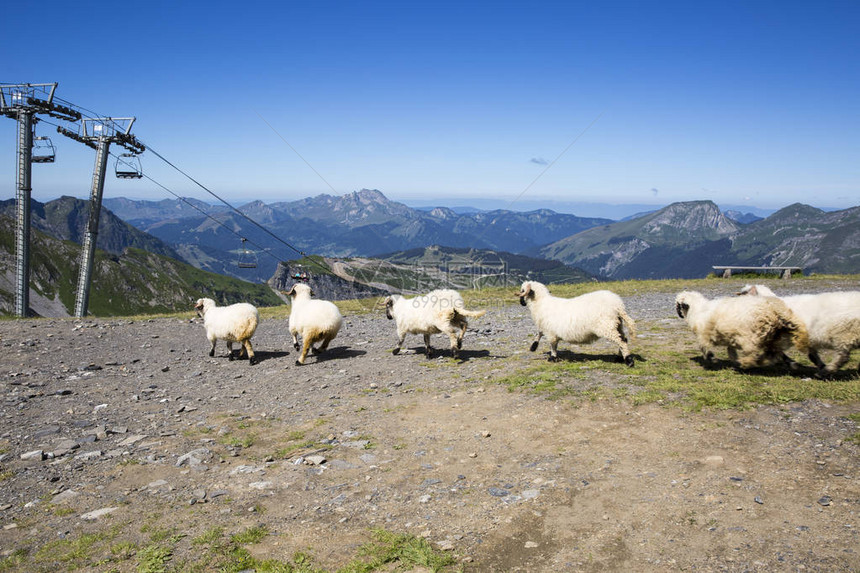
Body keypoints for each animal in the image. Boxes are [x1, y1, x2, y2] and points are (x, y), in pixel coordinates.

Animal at [676, 288, 808, 368]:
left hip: (752, 337)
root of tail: (776, 313)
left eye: (678, 304)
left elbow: (704, 348)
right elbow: (730, 350)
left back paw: (747, 363)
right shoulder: (728, 336)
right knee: (773, 353)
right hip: (773, 337)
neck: (697, 309)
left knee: (756, 353)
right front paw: (732, 359)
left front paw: (710, 359)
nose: (679, 313)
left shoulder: (703, 335)